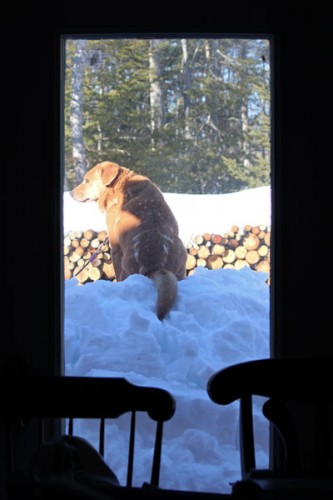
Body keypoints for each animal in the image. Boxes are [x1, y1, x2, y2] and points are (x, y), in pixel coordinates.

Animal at [70, 161, 187, 320]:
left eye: (87, 180)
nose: (70, 193)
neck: (120, 186)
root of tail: (155, 265)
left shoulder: (115, 246)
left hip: (125, 262)